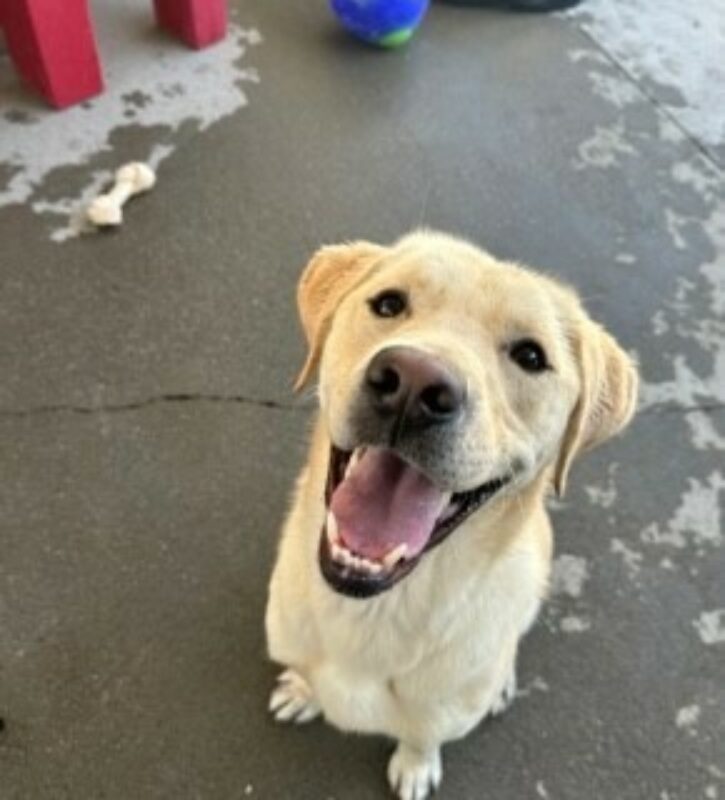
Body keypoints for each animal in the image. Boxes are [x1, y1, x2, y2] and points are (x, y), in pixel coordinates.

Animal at [264, 228, 636, 796]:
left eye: (530, 356)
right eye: (389, 304)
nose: (414, 383)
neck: (375, 610)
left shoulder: (442, 713)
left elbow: (423, 736)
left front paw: (416, 766)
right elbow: (307, 675)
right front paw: (303, 691)